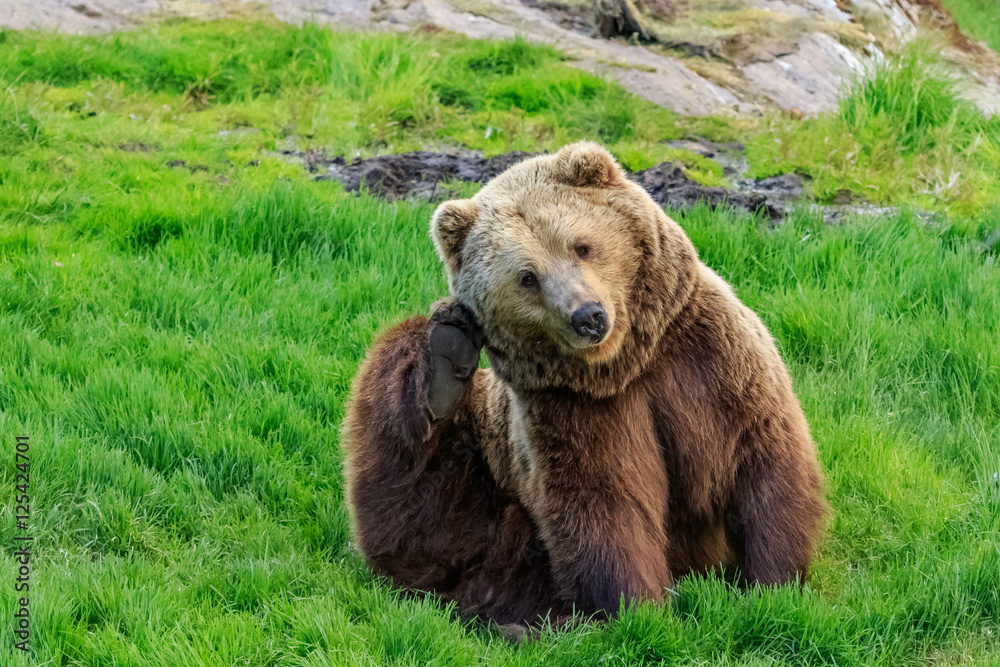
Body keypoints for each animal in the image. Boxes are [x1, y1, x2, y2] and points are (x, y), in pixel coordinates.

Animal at [342, 142, 826, 627]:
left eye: (581, 245)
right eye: (527, 278)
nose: (588, 316)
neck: (623, 364)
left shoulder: (706, 362)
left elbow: (760, 460)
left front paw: (773, 585)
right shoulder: (574, 406)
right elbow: (603, 502)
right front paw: (639, 609)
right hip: (485, 472)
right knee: (413, 492)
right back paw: (446, 352)